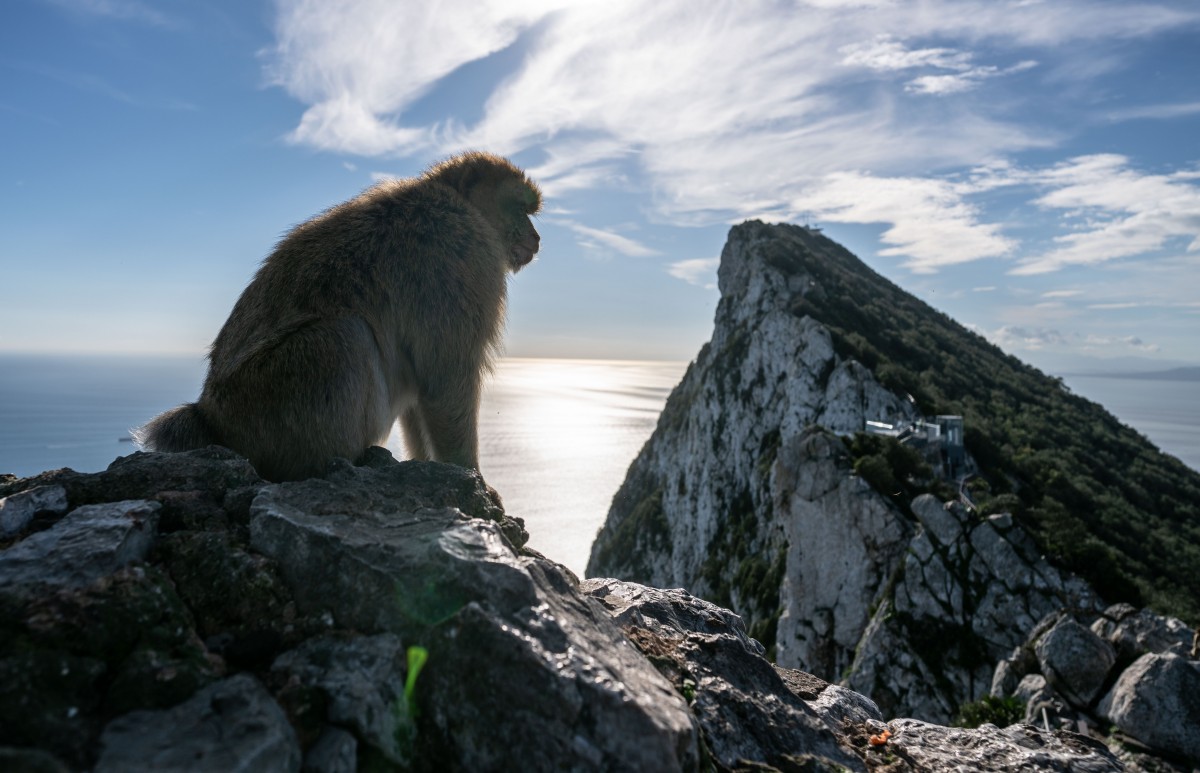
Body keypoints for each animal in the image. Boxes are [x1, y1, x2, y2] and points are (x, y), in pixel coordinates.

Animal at [133, 151, 542, 482]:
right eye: (520, 208)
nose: (537, 238)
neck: (460, 205)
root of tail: (210, 417)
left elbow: (422, 380)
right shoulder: (464, 255)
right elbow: (446, 375)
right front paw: (472, 477)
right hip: (275, 399)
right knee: (345, 335)